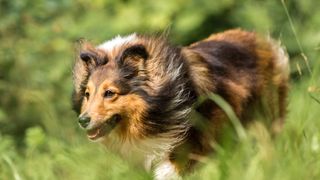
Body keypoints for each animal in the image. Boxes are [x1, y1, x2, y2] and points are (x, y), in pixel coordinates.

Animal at [72, 28, 290, 179]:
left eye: (109, 93)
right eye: (87, 94)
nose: (82, 120)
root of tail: (259, 39)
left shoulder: (193, 145)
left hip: (263, 120)